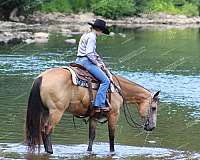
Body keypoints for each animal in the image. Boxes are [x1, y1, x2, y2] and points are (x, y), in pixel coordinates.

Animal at [24, 66, 159, 154]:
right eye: (153, 108)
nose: (152, 127)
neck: (118, 89)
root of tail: (41, 77)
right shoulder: (114, 114)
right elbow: (111, 136)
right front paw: (112, 152)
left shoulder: (93, 116)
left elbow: (91, 137)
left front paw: (89, 151)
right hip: (56, 112)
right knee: (47, 130)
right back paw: (51, 152)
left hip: (46, 111)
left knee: (42, 130)